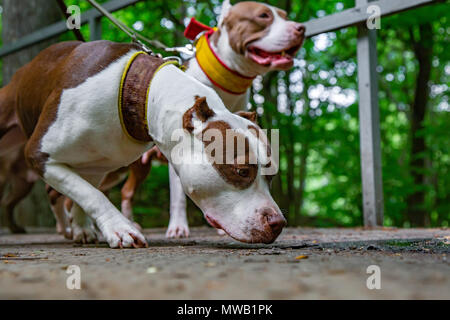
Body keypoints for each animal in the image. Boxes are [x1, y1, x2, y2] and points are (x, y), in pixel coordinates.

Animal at [0, 38, 286, 248]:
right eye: (241, 171)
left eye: (272, 176)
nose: (278, 223)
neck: (141, 94)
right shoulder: (38, 154)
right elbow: (92, 194)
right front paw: (119, 228)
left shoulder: (96, 165)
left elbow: (84, 193)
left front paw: (85, 227)